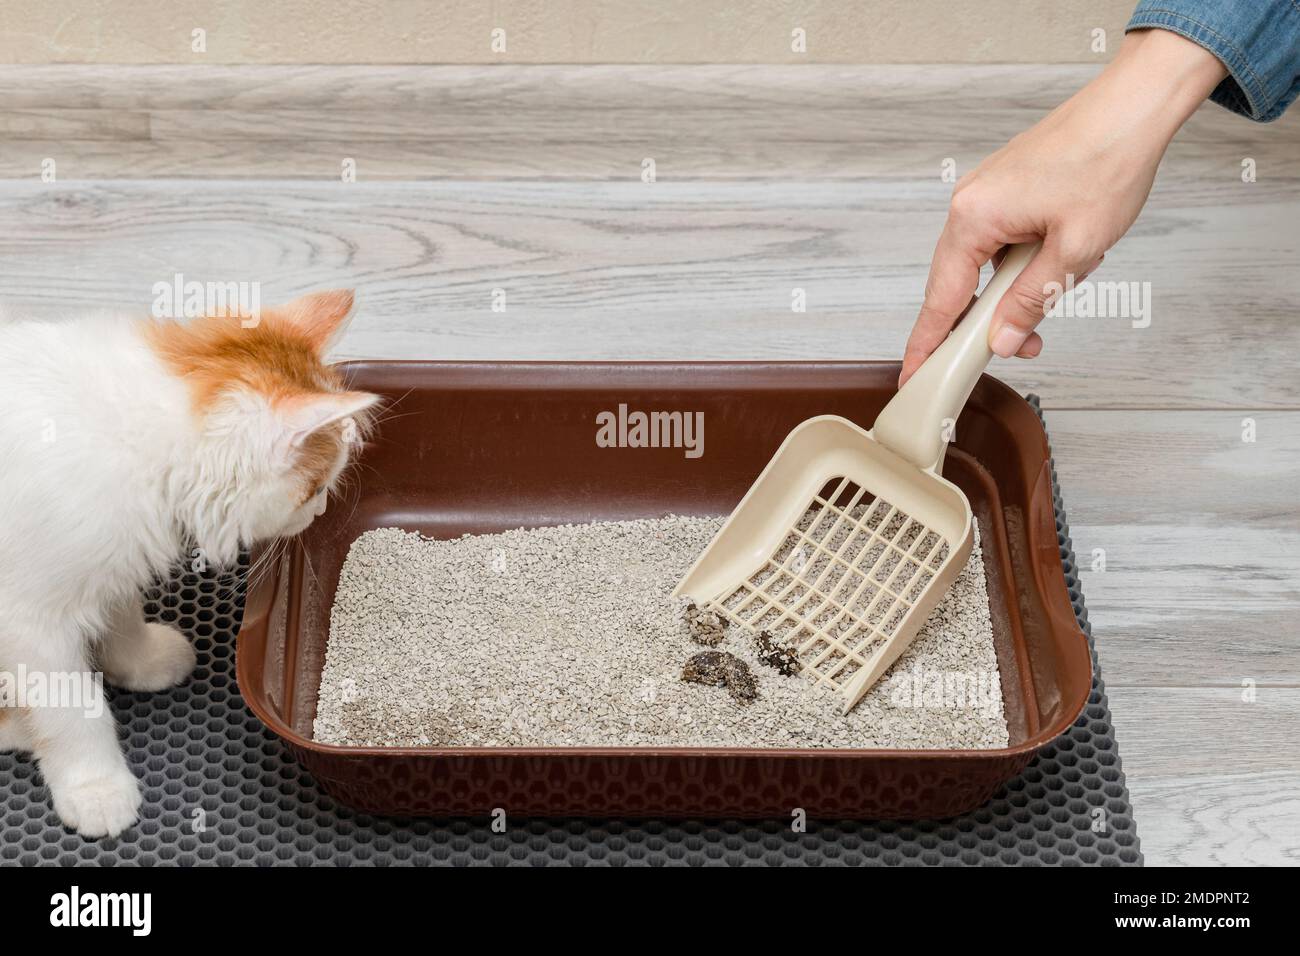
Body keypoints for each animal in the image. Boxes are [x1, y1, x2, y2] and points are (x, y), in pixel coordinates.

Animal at [0, 290, 377, 837]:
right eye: (317, 487)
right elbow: (73, 711)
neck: (136, 442)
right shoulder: (31, 621)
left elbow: (122, 622)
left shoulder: (114, 565)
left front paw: (144, 663)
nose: (323, 509)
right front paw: (95, 789)